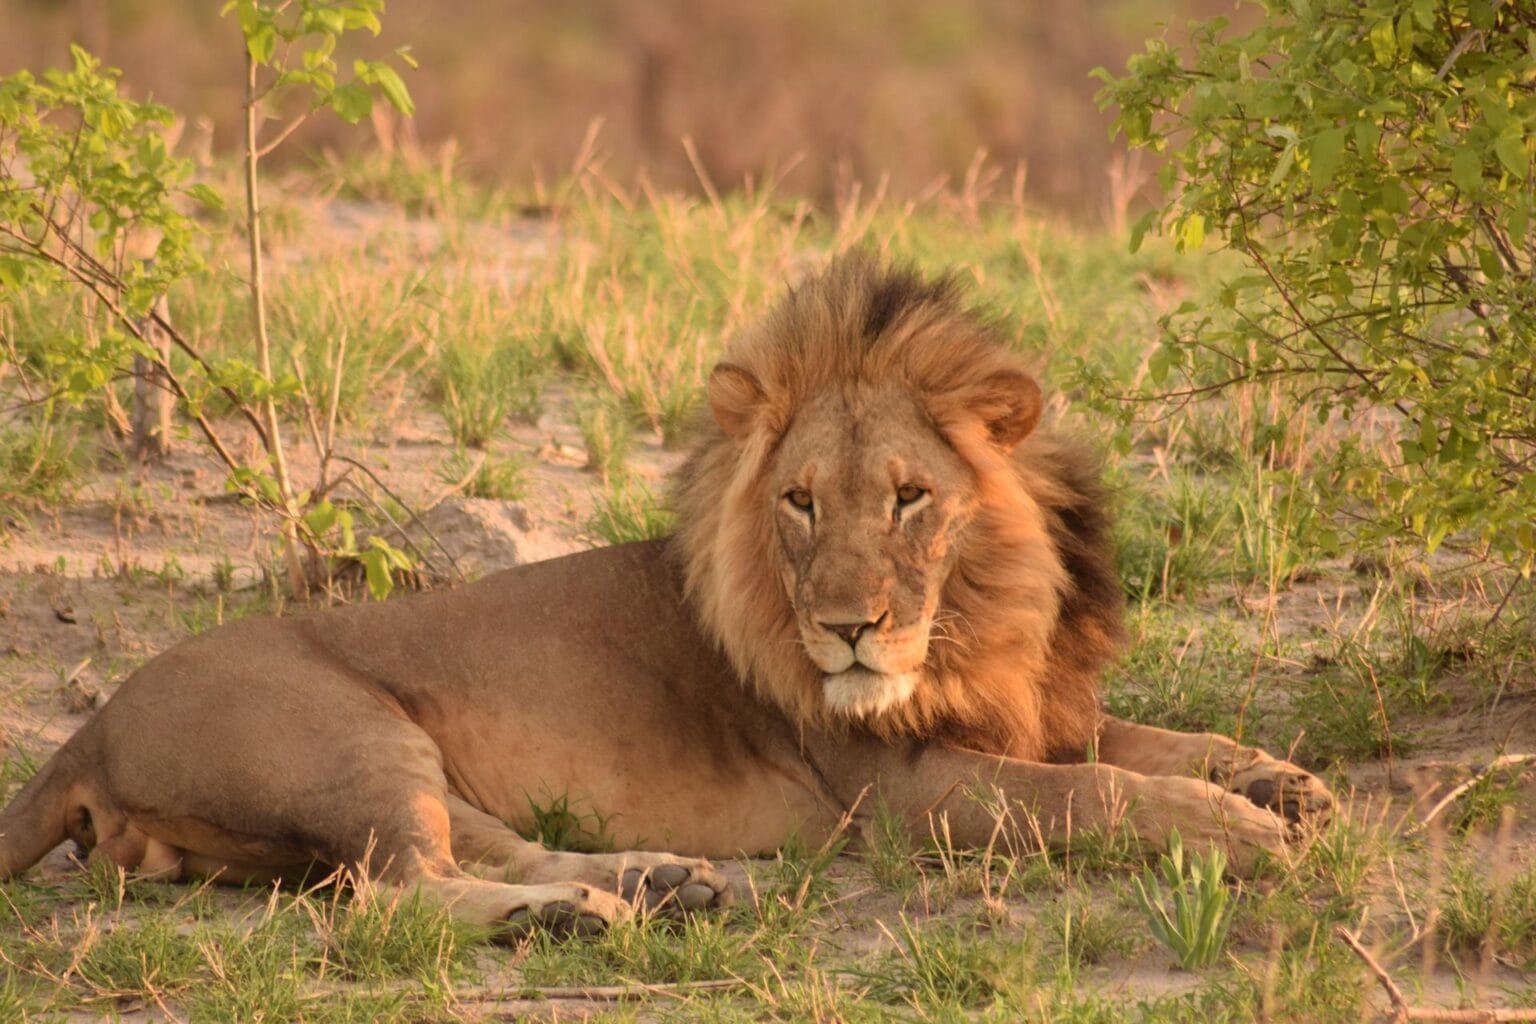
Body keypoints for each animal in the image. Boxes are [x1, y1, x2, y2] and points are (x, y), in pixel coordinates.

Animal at [0, 255, 1331, 938]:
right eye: (799, 502)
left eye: (909, 497)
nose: (847, 630)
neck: (982, 614)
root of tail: (90, 724)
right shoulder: (902, 789)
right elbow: (1097, 789)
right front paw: (1237, 833)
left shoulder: (1036, 711)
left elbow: (1151, 737)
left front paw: (1282, 782)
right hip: (345, 737)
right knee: (392, 896)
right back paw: (569, 921)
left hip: (401, 762)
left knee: (477, 847)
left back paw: (660, 882)